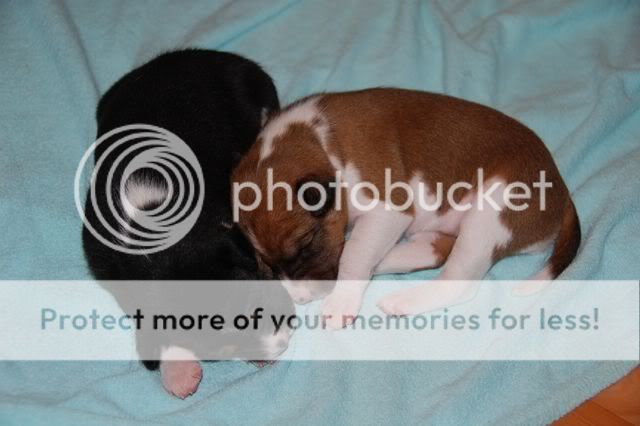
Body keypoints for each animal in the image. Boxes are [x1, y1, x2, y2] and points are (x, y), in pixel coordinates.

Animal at [232, 88, 580, 329]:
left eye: (305, 244)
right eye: (265, 262)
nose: (301, 296)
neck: (318, 141)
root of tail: (562, 192)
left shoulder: (389, 209)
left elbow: (354, 254)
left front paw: (340, 301)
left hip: (490, 215)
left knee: (458, 281)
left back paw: (402, 299)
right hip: (450, 228)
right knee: (434, 252)